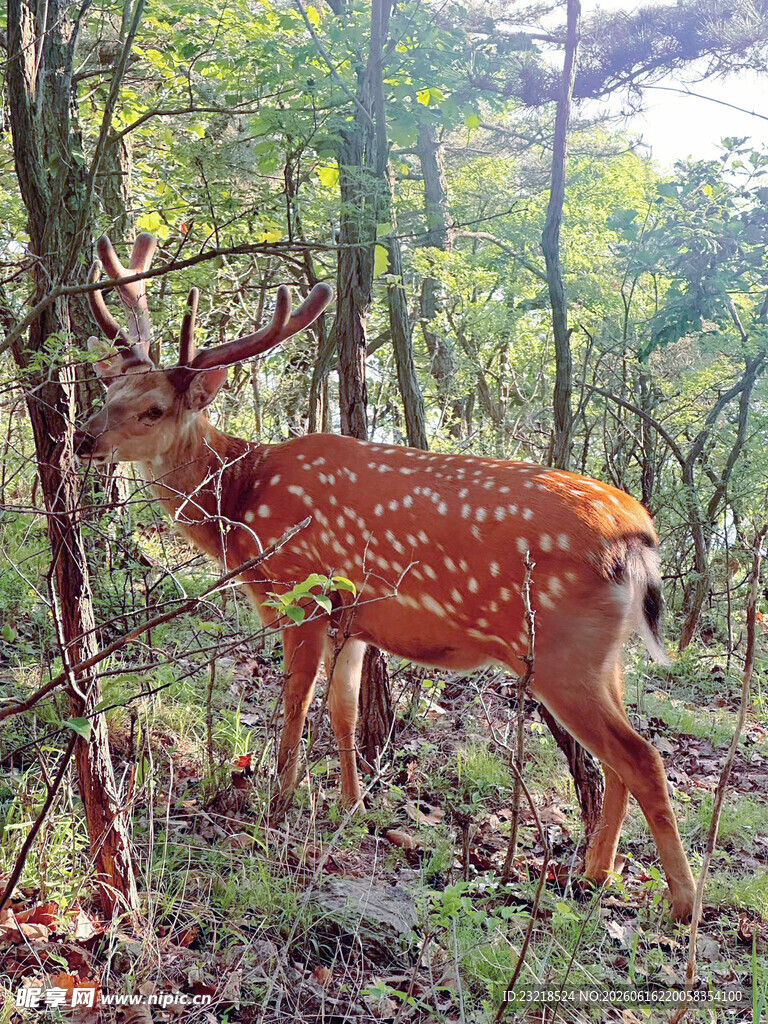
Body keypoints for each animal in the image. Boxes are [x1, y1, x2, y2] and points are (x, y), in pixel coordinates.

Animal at [74, 233, 696, 923]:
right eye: (109, 393)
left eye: (153, 410)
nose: (82, 438)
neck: (242, 497)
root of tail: (637, 536)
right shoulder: (354, 620)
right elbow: (344, 711)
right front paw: (353, 805)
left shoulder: (304, 591)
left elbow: (297, 700)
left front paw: (276, 802)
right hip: (604, 658)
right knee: (619, 758)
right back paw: (594, 874)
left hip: (563, 653)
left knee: (640, 756)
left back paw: (680, 905)